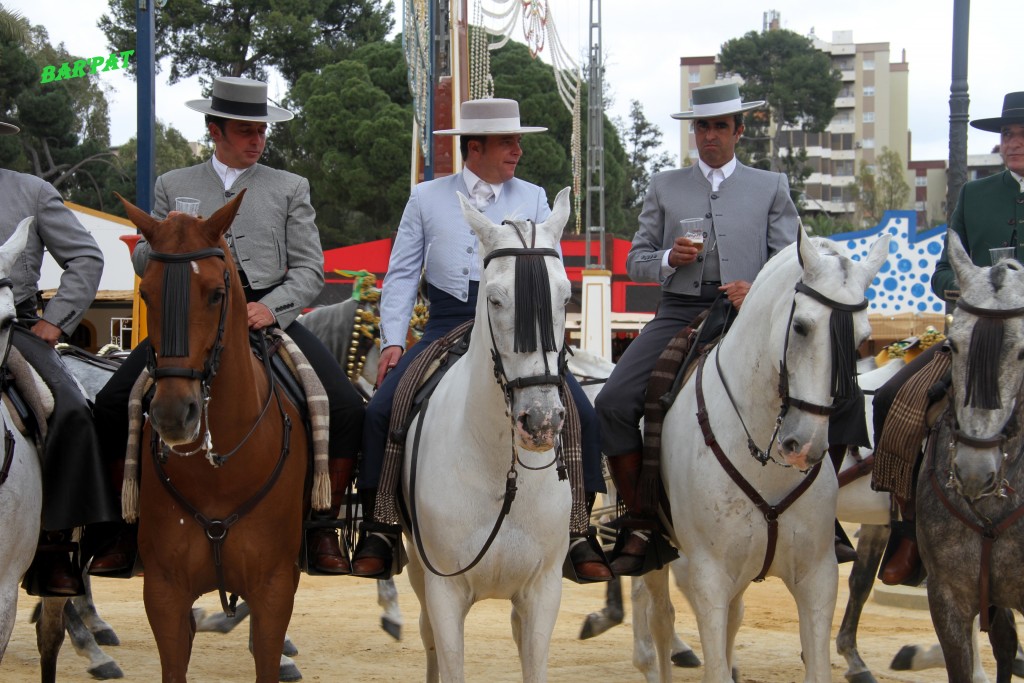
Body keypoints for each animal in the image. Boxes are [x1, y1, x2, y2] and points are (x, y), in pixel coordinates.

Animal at [119, 193, 307, 683]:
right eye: (146, 294)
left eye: (216, 294)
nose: (172, 414)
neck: (220, 471)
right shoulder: (164, 591)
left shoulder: (274, 588)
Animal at [401, 188, 577, 683]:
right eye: (495, 300)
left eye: (566, 297)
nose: (540, 421)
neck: (502, 470)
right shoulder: (444, 590)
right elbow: (447, 658)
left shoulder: (543, 591)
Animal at [638, 231, 888, 683]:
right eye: (801, 327)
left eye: (862, 339)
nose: (804, 446)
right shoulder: (708, 577)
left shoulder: (817, 576)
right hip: (657, 552)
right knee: (661, 618)